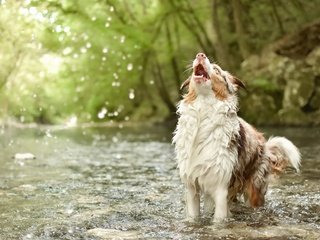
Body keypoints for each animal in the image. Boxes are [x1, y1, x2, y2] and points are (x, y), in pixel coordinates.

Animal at [172, 53, 300, 222]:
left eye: (217, 70)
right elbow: (193, 217)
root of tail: (265, 145)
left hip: (254, 188)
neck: (203, 111)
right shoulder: (192, 187)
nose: (200, 55)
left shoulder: (221, 188)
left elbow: (218, 220)